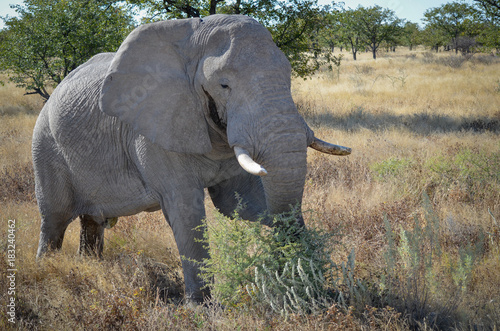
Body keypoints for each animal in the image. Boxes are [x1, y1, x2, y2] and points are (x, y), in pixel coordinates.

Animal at [32, 14, 352, 302]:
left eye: (288, 77)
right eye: (224, 85)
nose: (291, 264)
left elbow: (241, 203)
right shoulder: (153, 129)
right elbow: (186, 210)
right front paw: (202, 308)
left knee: (91, 222)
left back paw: (89, 265)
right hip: (45, 145)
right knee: (55, 220)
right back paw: (45, 268)